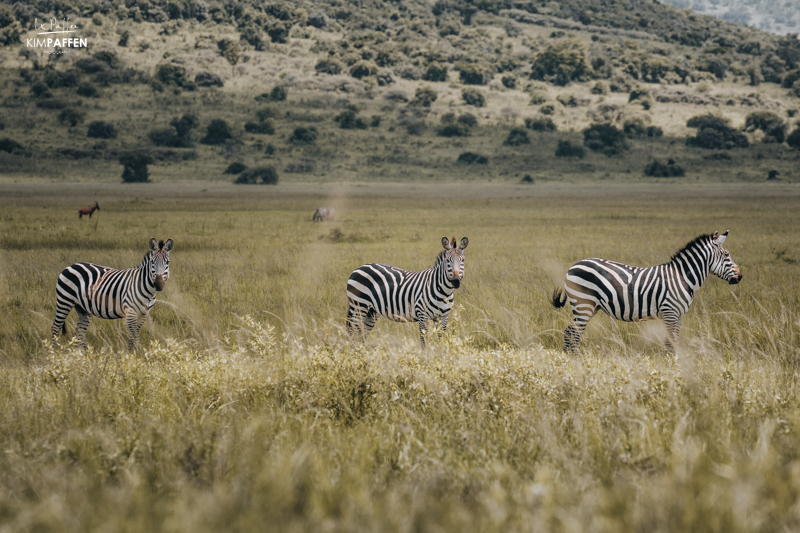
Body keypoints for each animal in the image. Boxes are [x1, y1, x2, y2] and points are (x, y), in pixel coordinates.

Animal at [552, 231, 744, 352]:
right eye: (726, 255)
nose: (740, 276)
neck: (682, 277)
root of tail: (572, 266)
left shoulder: (678, 314)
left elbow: (673, 340)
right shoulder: (670, 312)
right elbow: (671, 342)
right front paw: (673, 365)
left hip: (590, 307)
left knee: (570, 332)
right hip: (583, 304)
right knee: (572, 333)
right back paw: (574, 359)